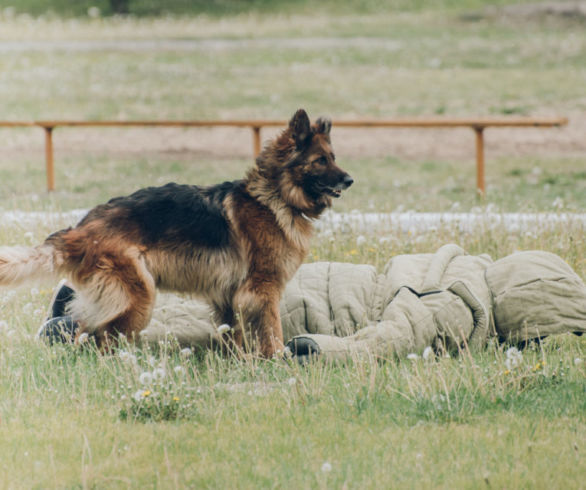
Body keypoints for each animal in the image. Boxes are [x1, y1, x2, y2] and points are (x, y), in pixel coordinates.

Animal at [0, 109, 352, 358]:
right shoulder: (262, 290)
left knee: (83, 332)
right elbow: (272, 332)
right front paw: (279, 360)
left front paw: (241, 362)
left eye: (334, 158)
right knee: (102, 337)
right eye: (320, 160)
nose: (350, 180)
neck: (275, 196)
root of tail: (80, 230)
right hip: (139, 296)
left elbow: (235, 336)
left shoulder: (231, 296)